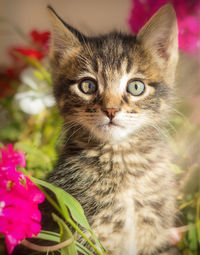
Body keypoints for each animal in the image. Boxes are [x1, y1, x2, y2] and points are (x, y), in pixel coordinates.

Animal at [47, 3, 180, 255]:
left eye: (136, 87)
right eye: (87, 86)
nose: (110, 110)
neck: (122, 162)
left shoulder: (157, 236)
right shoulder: (81, 236)